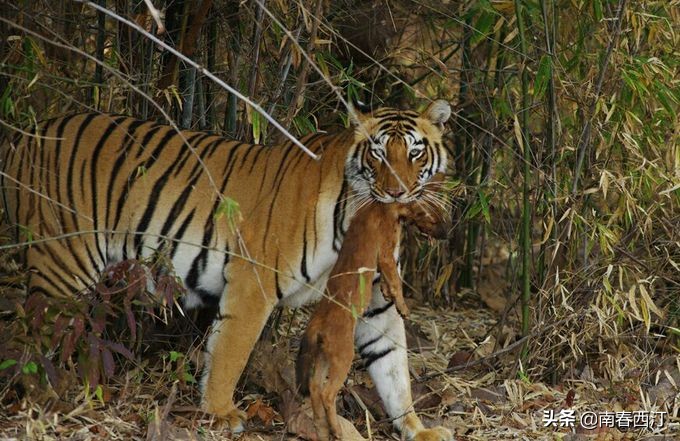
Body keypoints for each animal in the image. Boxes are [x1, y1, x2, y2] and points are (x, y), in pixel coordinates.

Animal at [1, 100, 456, 440]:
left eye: (414, 152)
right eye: (377, 152)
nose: (396, 192)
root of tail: (25, 133)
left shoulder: (376, 301)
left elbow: (394, 367)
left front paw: (417, 427)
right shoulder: (254, 281)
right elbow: (229, 352)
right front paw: (220, 413)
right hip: (62, 262)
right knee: (31, 334)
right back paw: (46, 399)